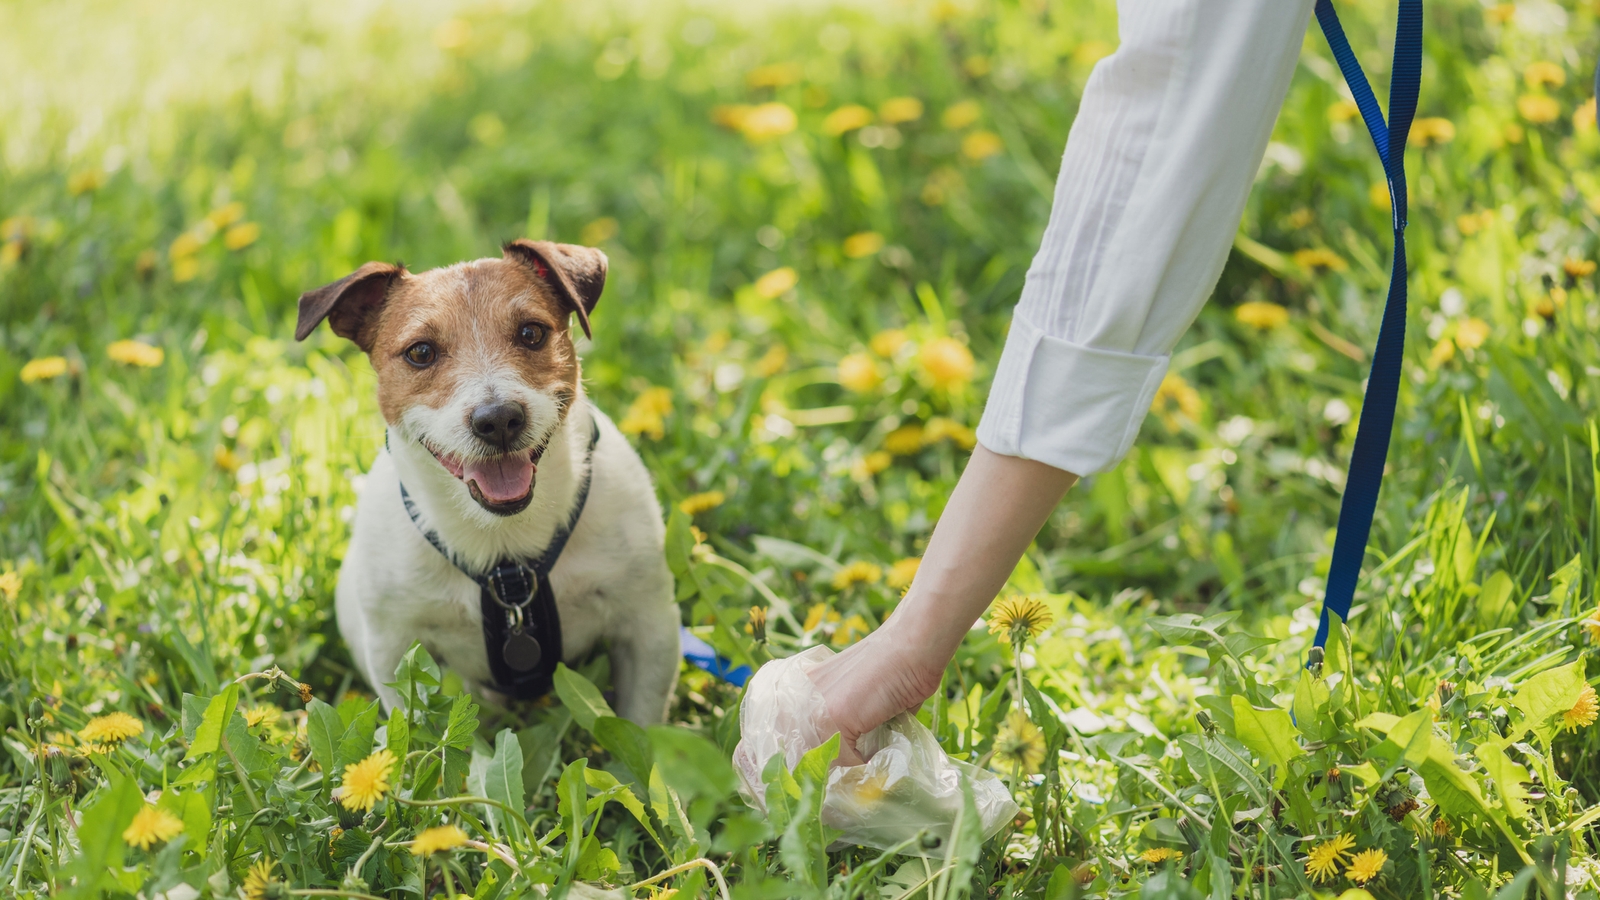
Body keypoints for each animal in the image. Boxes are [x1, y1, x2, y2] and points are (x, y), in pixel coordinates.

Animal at [297, 238, 678, 720]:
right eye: (421, 352)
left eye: (531, 333)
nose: (498, 420)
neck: (505, 548)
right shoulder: (393, 648)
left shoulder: (648, 626)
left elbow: (642, 723)